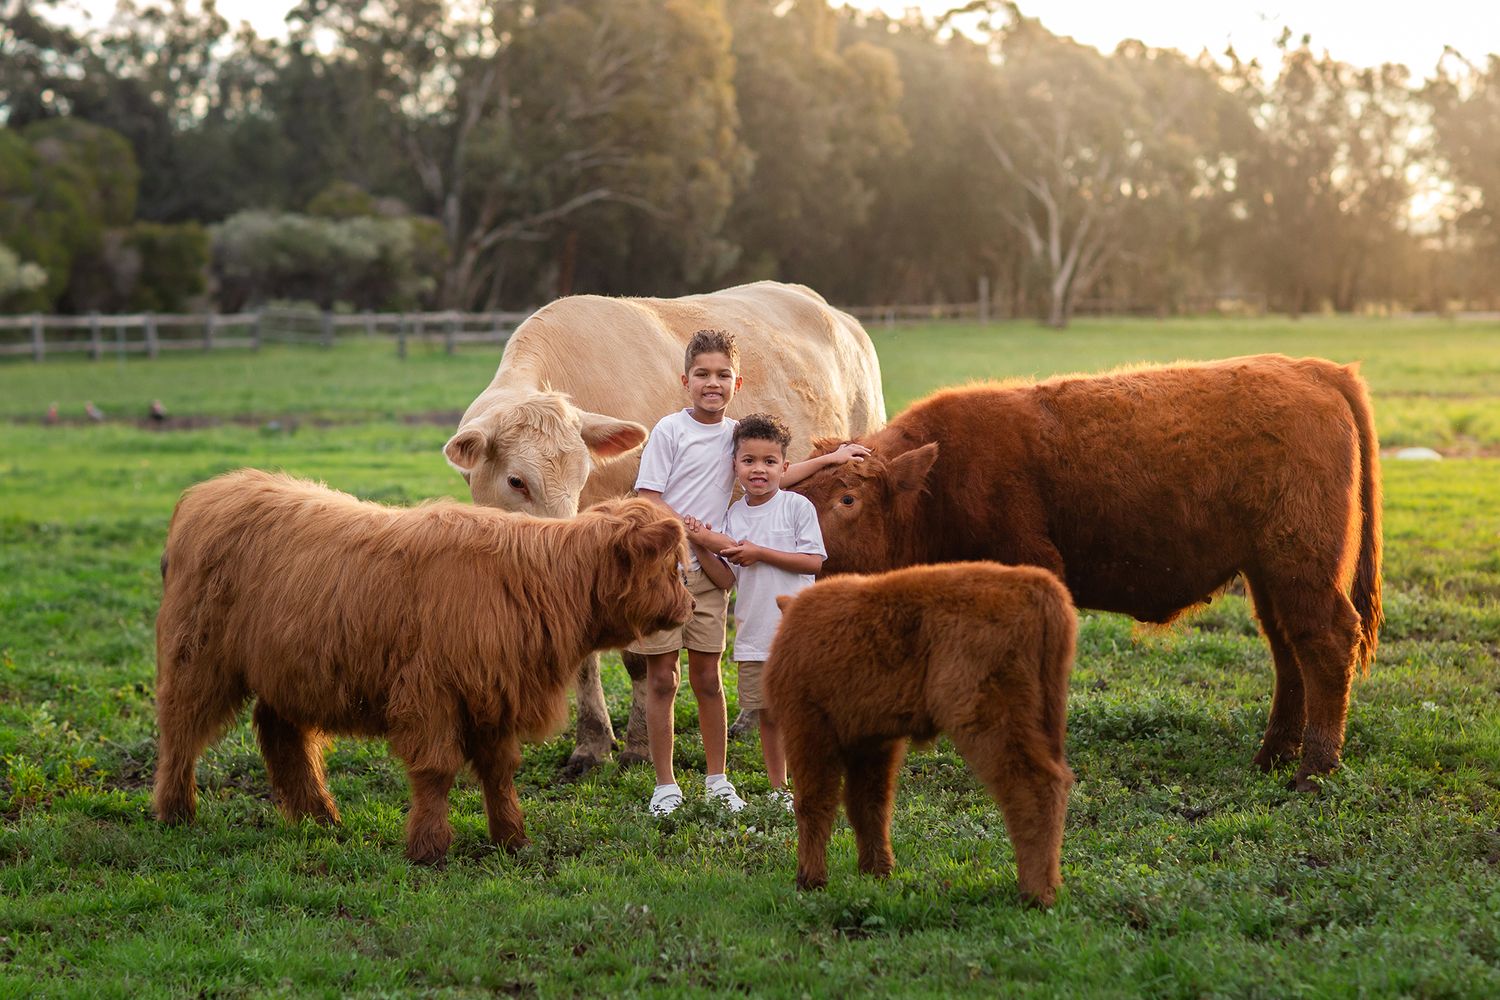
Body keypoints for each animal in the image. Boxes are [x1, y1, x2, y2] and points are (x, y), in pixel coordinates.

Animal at [153, 469, 692, 864]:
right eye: (669, 568)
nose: (689, 605)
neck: (534, 581)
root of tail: (214, 490)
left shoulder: (494, 696)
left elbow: (499, 771)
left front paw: (512, 839)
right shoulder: (431, 694)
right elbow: (436, 770)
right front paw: (429, 848)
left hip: (290, 669)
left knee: (280, 733)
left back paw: (319, 818)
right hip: (197, 659)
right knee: (181, 731)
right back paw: (176, 812)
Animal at [444, 281, 886, 777]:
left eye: (582, 476)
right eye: (516, 480)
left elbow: (639, 660)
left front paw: (638, 747)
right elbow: (584, 661)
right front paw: (591, 745)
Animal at [766, 562, 1077, 907]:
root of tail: (1035, 583)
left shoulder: (808, 727)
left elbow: (813, 802)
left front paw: (810, 880)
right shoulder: (872, 741)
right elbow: (869, 804)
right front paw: (876, 872)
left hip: (993, 719)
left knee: (1033, 785)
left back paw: (1035, 893)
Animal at [791, 355, 1382, 791]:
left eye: (847, 499)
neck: (943, 480)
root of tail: (1312, 368)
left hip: (1300, 563)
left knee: (1326, 641)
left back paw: (1313, 771)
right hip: (1269, 573)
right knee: (1288, 652)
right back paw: (1273, 757)